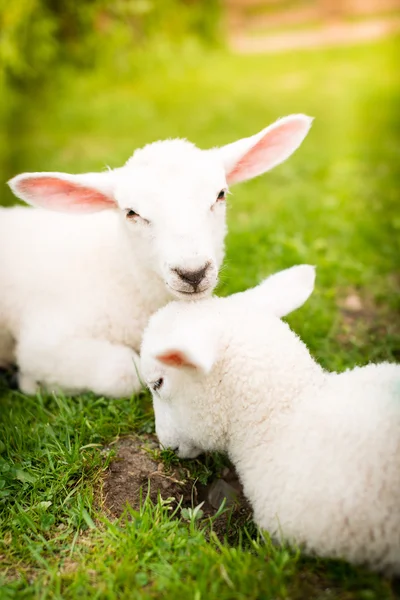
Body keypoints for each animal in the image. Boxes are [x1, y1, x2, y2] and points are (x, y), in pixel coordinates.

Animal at [0, 115, 312, 398]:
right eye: (131, 213)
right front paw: (34, 383)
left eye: (220, 195)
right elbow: (125, 371)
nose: (192, 273)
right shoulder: (43, 343)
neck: (124, 275)